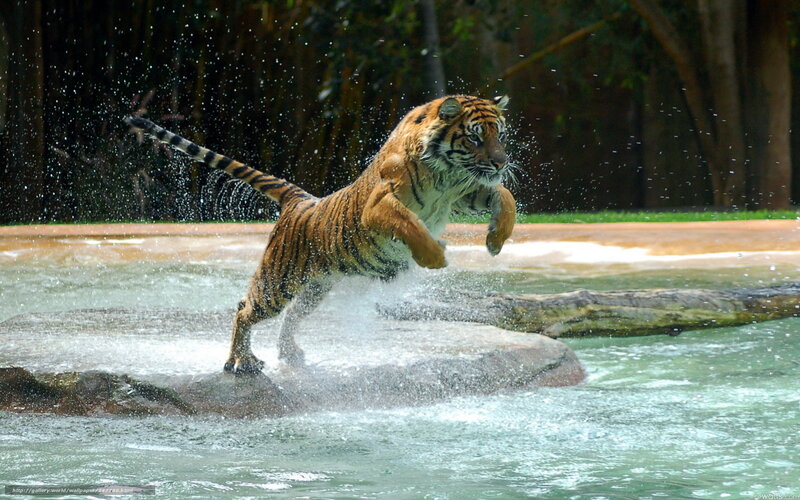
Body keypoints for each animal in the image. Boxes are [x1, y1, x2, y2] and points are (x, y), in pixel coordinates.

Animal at [125, 94, 516, 374]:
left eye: (500, 134)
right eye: (475, 136)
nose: (502, 162)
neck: (446, 174)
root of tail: (300, 200)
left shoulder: (466, 192)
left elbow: (505, 196)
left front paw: (495, 240)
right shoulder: (380, 205)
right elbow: (410, 225)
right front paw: (435, 256)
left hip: (315, 287)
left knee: (291, 317)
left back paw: (290, 355)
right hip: (278, 281)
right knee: (244, 309)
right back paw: (242, 363)